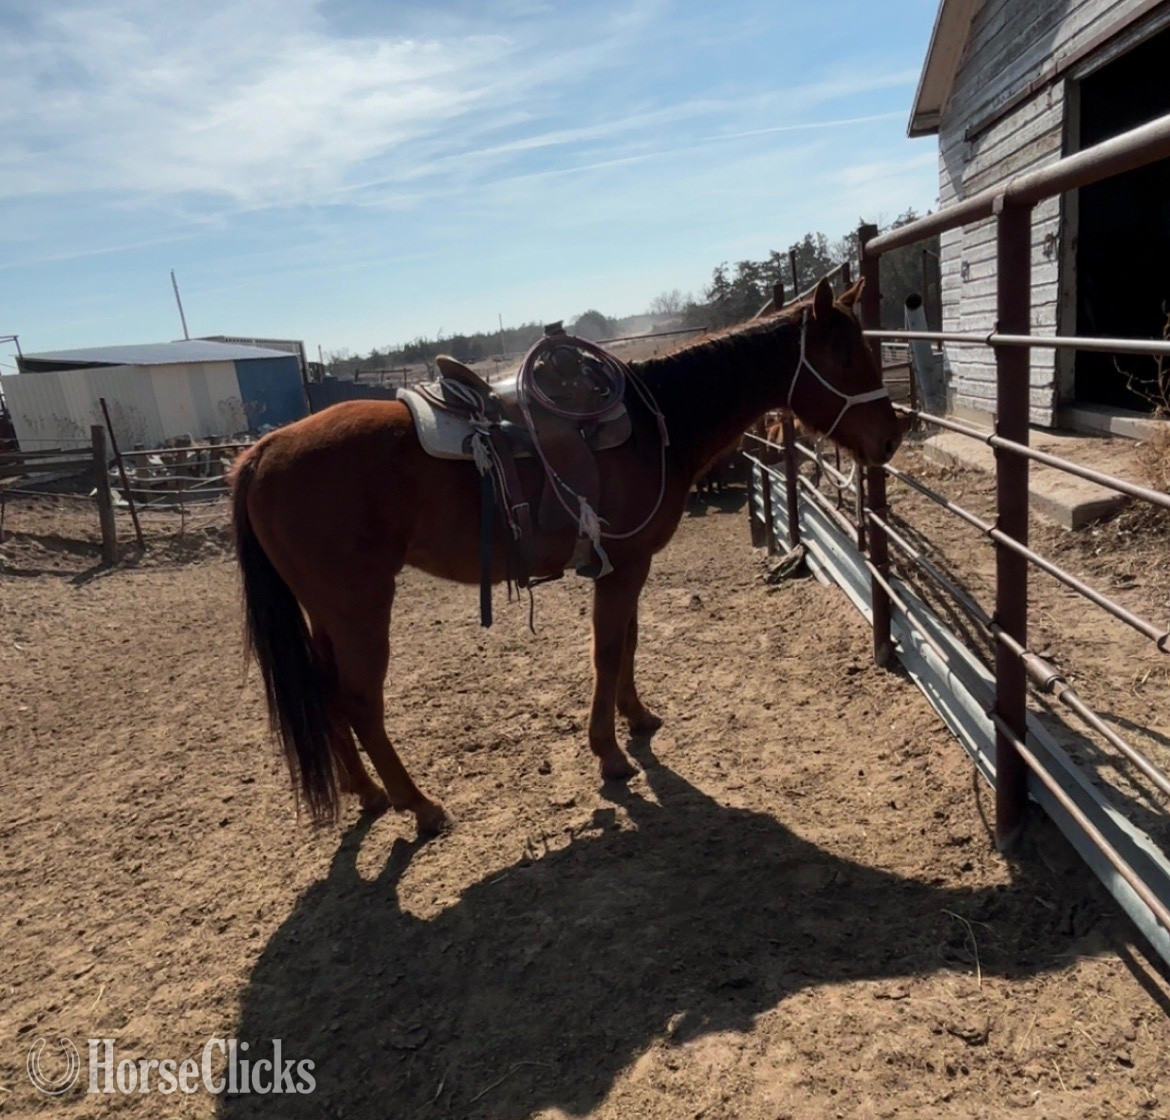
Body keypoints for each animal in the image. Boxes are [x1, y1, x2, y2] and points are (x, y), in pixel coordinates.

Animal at [230, 278, 901, 835]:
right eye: (845, 356)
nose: (890, 439)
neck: (655, 422)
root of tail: (263, 451)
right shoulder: (621, 567)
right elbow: (606, 650)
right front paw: (609, 753)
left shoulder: (632, 564)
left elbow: (629, 641)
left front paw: (638, 719)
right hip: (360, 606)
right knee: (361, 701)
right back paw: (418, 805)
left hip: (326, 611)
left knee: (325, 692)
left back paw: (367, 792)